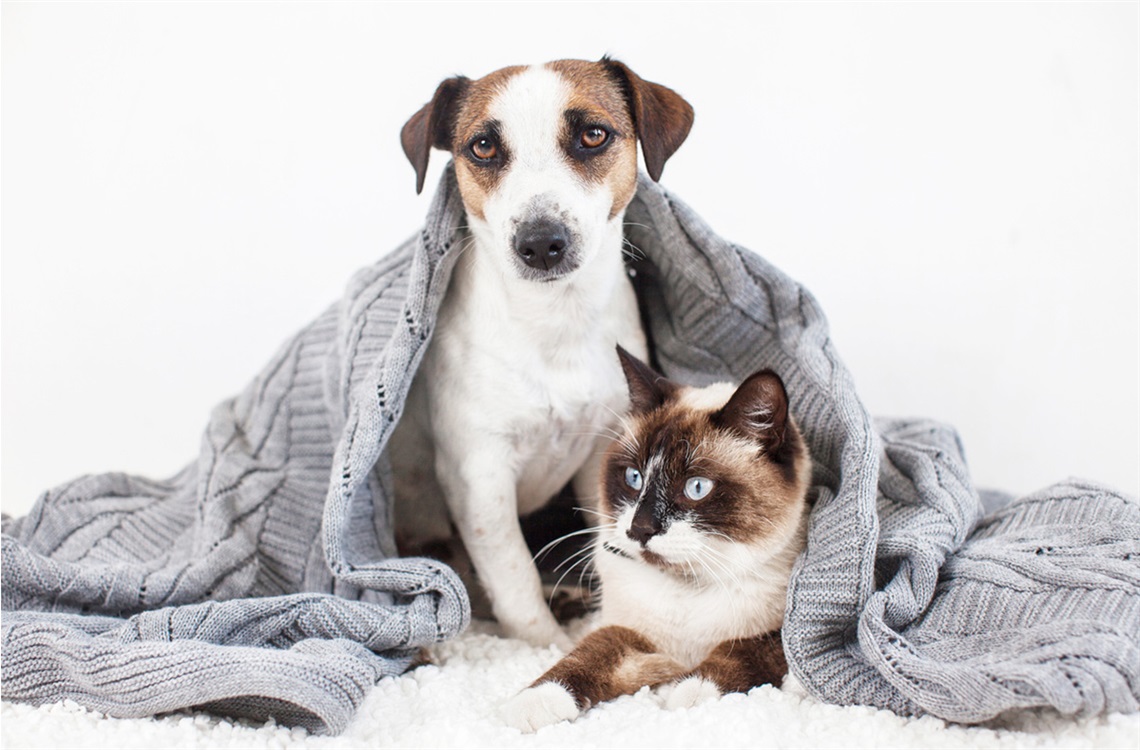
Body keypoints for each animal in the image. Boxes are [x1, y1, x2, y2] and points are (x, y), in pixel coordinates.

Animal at [392, 55, 693, 647]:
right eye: (483, 146)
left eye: (593, 135)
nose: (540, 242)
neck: (557, 323)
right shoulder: (479, 476)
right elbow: (512, 577)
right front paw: (545, 645)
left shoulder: (604, 450)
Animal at [503, 346, 816, 729]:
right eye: (633, 477)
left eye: (696, 488)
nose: (640, 528)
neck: (686, 589)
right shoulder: (633, 634)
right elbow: (586, 655)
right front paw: (534, 704)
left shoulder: (781, 638)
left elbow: (739, 652)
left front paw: (690, 692)